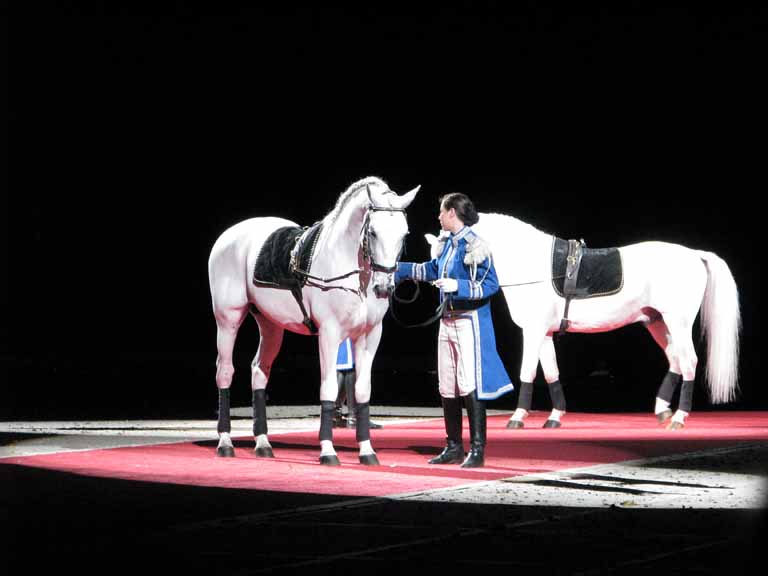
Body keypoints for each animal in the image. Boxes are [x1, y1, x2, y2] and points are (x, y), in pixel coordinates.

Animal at [210, 176, 420, 464]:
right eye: (373, 232)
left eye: (404, 234)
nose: (384, 288)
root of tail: (228, 235)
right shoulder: (330, 335)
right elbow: (329, 387)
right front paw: (328, 450)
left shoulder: (369, 336)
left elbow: (363, 390)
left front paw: (367, 450)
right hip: (228, 318)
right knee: (225, 371)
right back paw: (225, 442)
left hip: (270, 324)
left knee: (259, 371)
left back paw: (263, 443)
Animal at [426, 212, 736, 428]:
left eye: (455, 249)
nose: (442, 285)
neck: (531, 262)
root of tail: (694, 255)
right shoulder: (545, 334)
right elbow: (551, 372)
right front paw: (554, 416)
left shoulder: (533, 331)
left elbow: (527, 372)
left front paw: (517, 417)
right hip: (657, 322)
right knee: (675, 360)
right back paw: (663, 411)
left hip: (678, 322)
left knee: (689, 362)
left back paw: (680, 417)